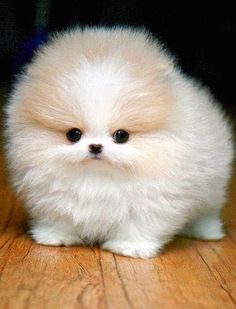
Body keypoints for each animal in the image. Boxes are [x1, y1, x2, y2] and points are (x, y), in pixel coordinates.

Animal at [5, 27, 232, 258]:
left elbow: (139, 226)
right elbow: (59, 218)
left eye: (121, 136)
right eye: (73, 134)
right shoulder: (50, 197)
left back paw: (206, 233)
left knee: (207, 213)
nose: (95, 146)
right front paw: (56, 237)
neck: (97, 178)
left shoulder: (153, 202)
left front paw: (130, 248)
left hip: (212, 191)